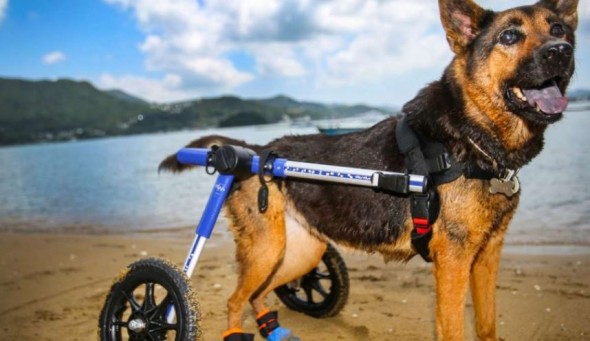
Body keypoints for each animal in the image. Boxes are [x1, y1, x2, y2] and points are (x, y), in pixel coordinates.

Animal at [160, 0, 580, 338]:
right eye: (510, 36)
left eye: (558, 29)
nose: (560, 51)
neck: (470, 137)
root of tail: (256, 152)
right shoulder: (454, 262)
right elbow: (452, 329)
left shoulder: (487, 255)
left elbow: (488, 326)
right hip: (266, 249)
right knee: (234, 299)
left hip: (299, 252)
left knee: (259, 293)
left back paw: (271, 328)